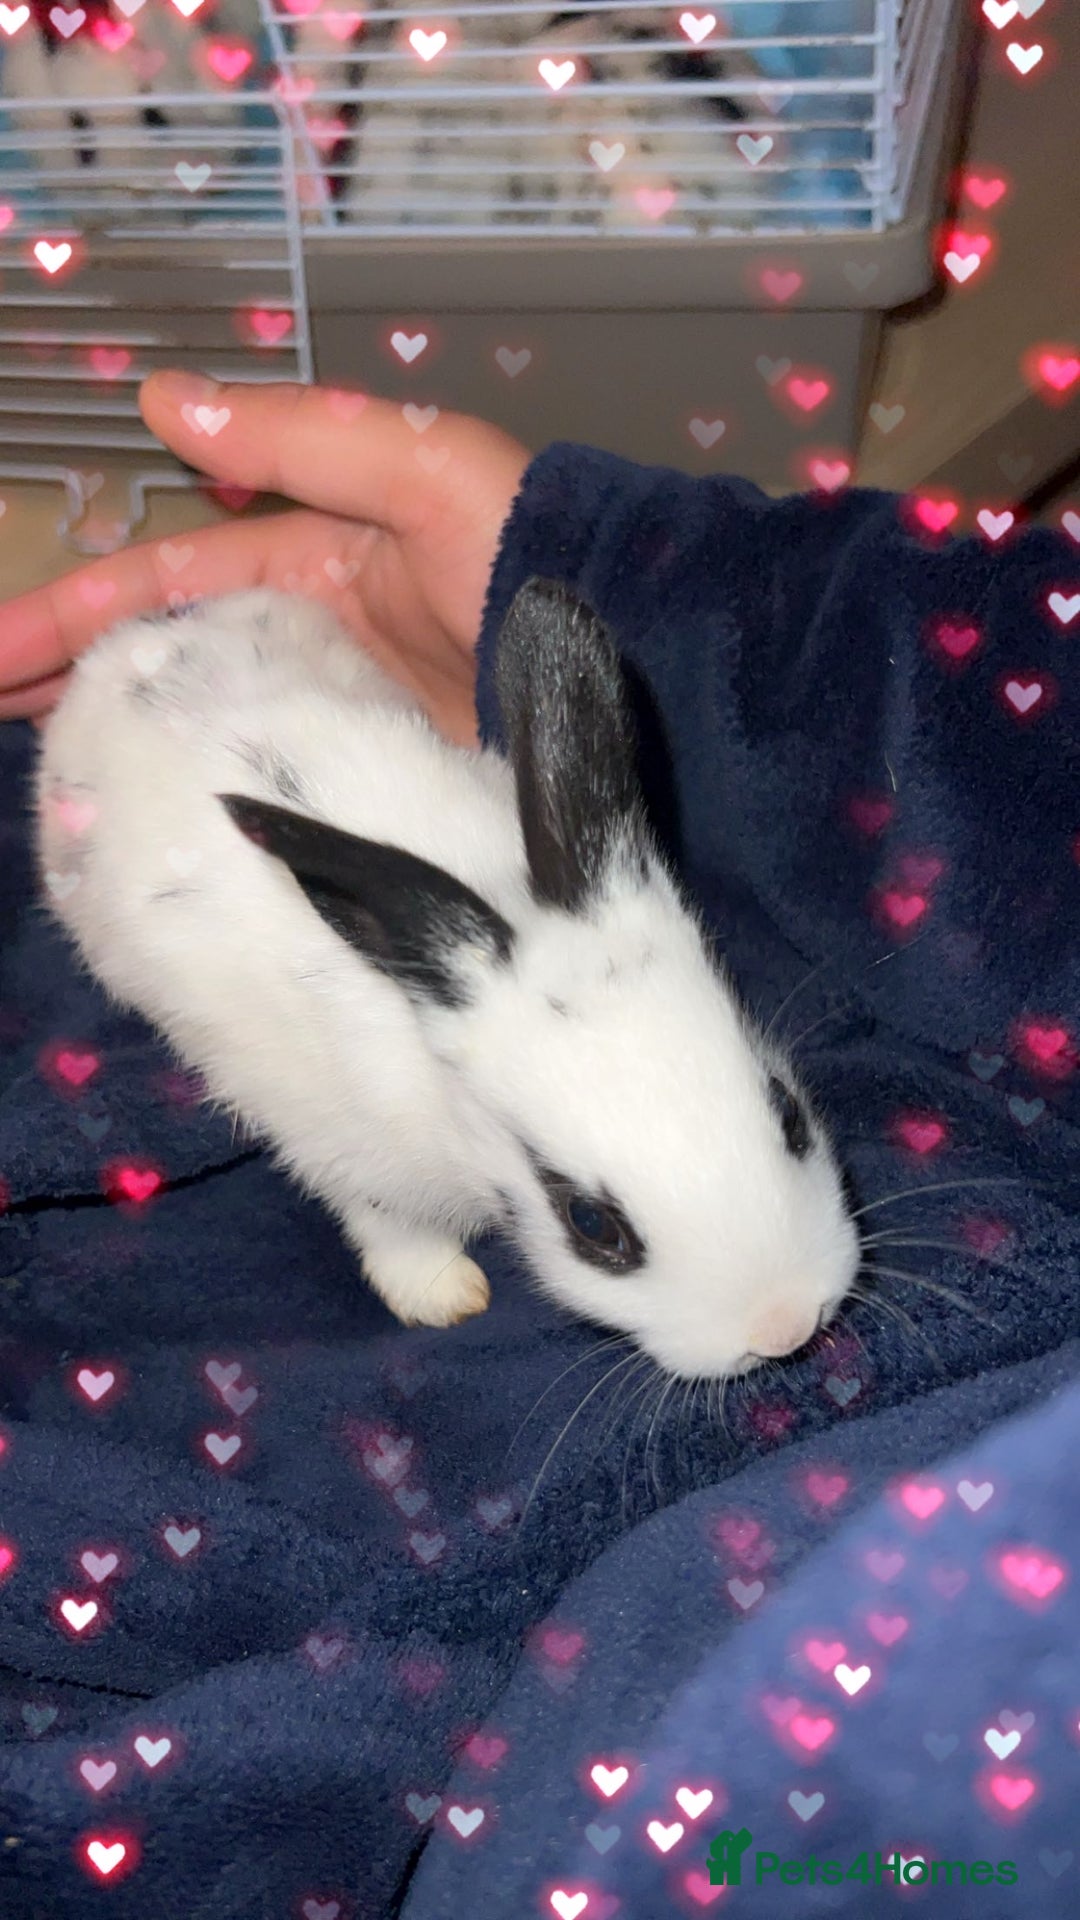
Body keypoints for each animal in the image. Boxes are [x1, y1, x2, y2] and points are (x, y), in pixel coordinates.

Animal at [34, 579, 860, 1381]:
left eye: (788, 1113)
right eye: (591, 1225)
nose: (784, 1326)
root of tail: (123, 647)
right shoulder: (345, 1155)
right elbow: (389, 1228)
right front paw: (444, 1297)